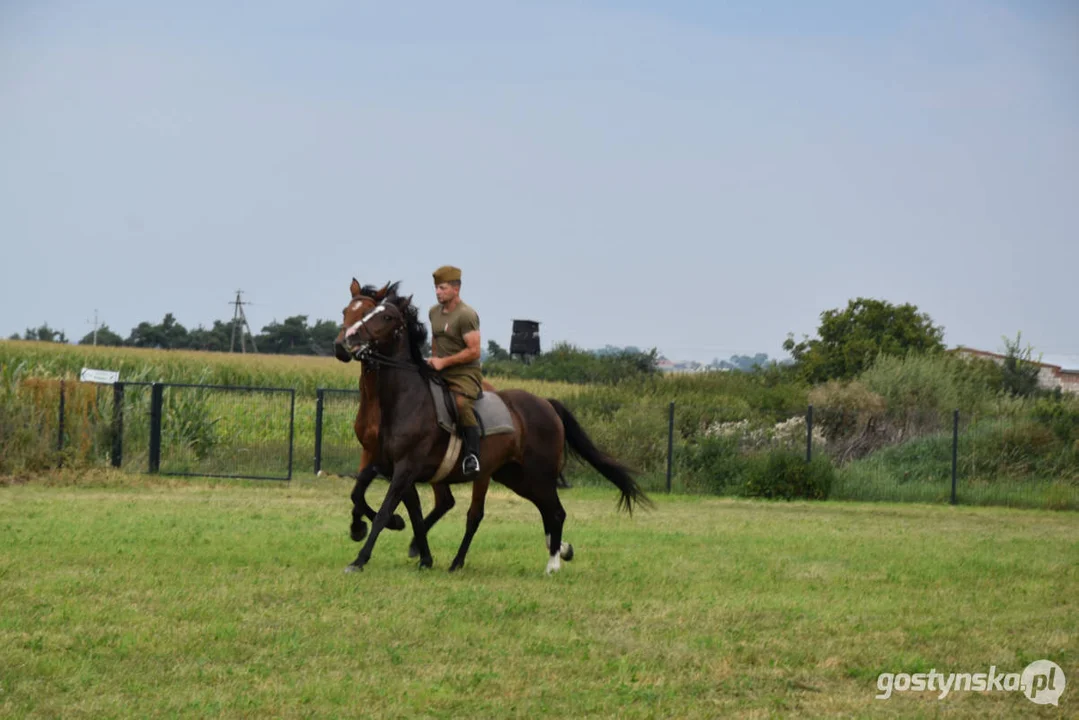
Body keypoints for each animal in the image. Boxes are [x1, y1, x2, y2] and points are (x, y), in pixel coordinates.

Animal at [336, 287, 647, 574]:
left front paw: (360, 559)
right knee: (543, 511)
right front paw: (417, 550)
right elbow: (367, 495)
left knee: (544, 513)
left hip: (537, 475)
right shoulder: (387, 464)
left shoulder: (406, 468)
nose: (347, 340)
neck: (406, 400)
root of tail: (546, 403)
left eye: (386, 316)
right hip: (515, 477)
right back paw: (554, 551)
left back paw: (549, 564)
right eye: (356, 312)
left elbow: (386, 509)